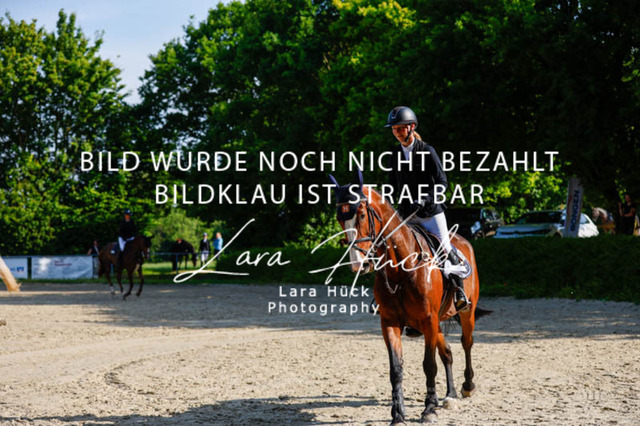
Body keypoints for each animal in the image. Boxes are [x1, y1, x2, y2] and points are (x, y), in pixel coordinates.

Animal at [329, 171, 489, 425]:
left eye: (362, 215)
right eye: (339, 219)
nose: (359, 265)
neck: (400, 269)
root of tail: (464, 241)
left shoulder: (428, 319)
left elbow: (429, 365)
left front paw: (429, 410)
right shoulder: (390, 322)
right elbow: (396, 369)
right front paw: (398, 414)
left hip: (465, 312)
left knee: (466, 342)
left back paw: (467, 386)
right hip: (435, 322)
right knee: (447, 353)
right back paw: (450, 395)